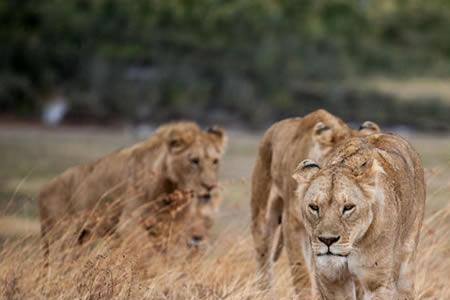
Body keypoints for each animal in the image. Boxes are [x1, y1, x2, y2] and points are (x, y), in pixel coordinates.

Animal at [38, 120, 227, 266]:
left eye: (215, 161)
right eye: (194, 161)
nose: (210, 186)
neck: (169, 189)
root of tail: (44, 188)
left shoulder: (169, 228)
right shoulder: (128, 224)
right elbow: (143, 255)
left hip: (82, 236)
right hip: (60, 236)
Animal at [292, 134, 426, 300]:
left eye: (348, 207)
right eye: (314, 207)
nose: (327, 240)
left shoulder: (378, 283)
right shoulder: (331, 280)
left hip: (407, 265)